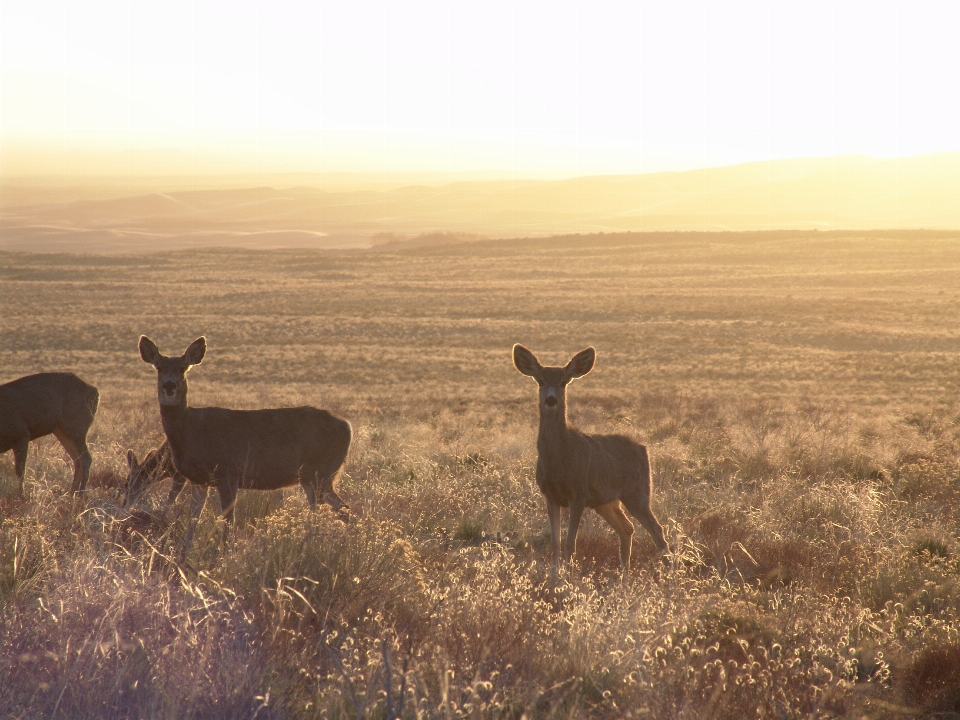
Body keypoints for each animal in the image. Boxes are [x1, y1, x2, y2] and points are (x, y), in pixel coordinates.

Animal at [139, 338, 352, 528]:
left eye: (183, 368)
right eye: (159, 368)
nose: (169, 385)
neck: (191, 430)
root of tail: (347, 426)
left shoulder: (228, 472)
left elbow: (228, 522)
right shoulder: (198, 480)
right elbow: (193, 522)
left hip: (318, 473)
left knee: (331, 511)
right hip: (319, 476)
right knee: (343, 510)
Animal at [510, 344, 668, 580]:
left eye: (564, 381)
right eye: (540, 380)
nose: (551, 399)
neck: (557, 459)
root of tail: (644, 449)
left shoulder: (579, 492)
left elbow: (570, 543)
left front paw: (566, 576)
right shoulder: (550, 495)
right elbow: (555, 542)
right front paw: (555, 573)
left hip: (638, 492)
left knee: (657, 529)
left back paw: (670, 572)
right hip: (605, 501)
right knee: (627, 527)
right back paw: (624, 575)